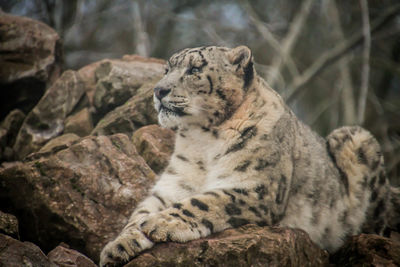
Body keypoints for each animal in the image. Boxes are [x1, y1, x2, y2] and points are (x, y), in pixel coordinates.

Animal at [99, 45, 396, 266]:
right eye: (166, 69)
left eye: (195, 69)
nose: (159, 90)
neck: (201, 141)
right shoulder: (172, 186)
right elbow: (140, 212)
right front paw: (118, 245)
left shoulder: (257, 187)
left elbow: (204, 201)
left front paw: (161, 222)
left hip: (356, 139)